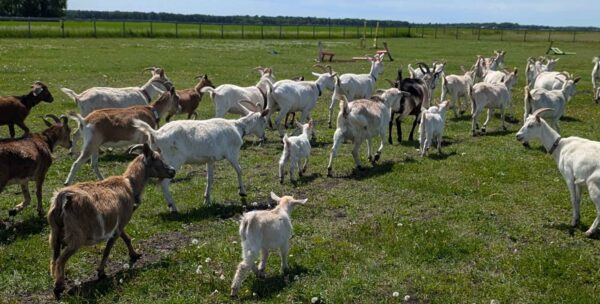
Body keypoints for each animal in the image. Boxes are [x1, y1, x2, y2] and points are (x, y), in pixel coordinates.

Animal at [49, 142, 176, 300]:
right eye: (157, 159)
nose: (173, 171)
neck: (129, 184)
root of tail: (62, 198)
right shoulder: (117, 227)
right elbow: (108, 250)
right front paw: (101, 272)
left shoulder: (119, 225)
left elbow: (126, 238)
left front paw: (134, 255)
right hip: (76, 237)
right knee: (61, 260)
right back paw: (58, 287)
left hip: (55, 235)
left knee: (54, 260)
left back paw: (56, 281)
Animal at [136, 109, 270, 211]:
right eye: (264, 121)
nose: (264, 137)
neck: (238, 127)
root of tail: (156, 134)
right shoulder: (232, 153)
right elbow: (239, 170)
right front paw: (242, 192)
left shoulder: (210, 159)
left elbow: (210, 179)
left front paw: (207, 200)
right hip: (173, 160)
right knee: (163, 183)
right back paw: (173, 207)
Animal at [512, 108, 600, 238]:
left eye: (531, 125)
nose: (518, 136)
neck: (560, 146)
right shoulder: (578, 181)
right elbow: (578, 200)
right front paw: (578, 219)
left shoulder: (569, 177)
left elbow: (573, 199)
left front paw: (573, 222)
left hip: (593, 184)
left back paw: (589, 231)